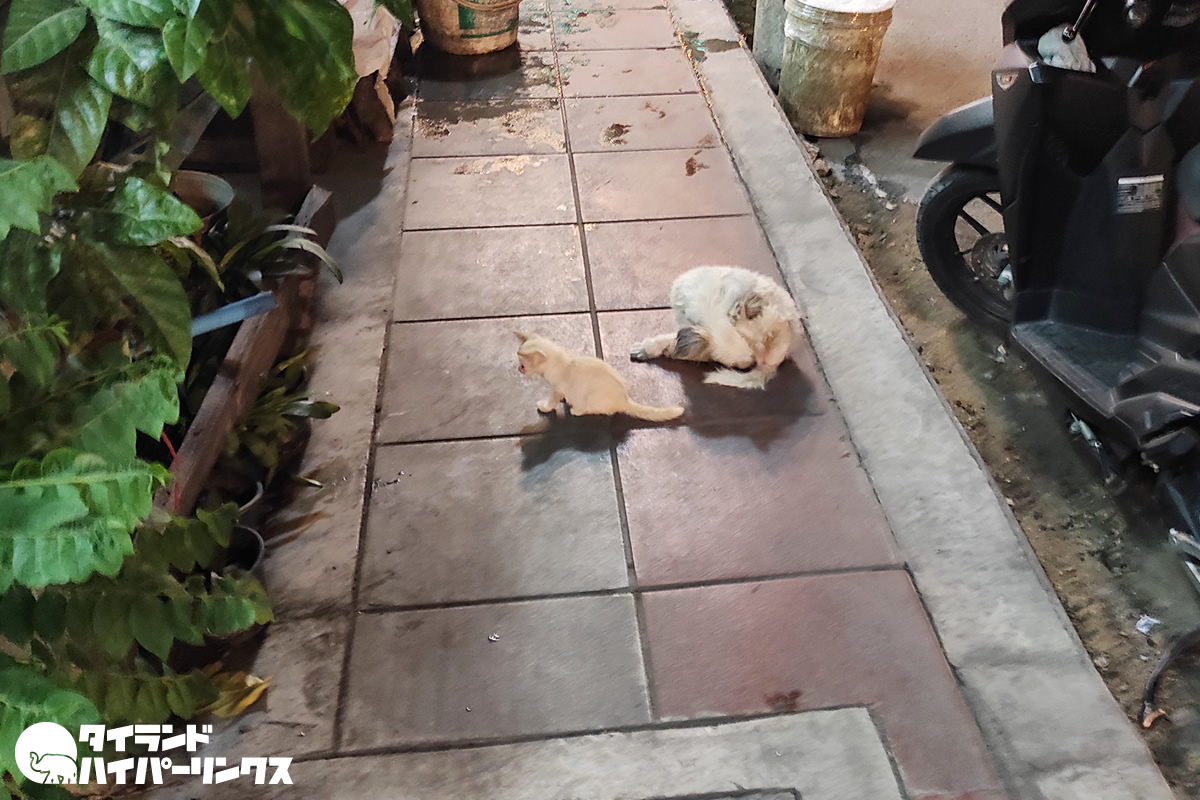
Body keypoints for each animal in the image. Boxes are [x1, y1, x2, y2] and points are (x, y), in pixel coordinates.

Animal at [515, 332, 684, 422]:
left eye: (523, 366)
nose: (518, 369)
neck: (561, 362)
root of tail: (624, 400)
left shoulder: (558, 388)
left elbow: (552, 400)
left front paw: (545, 407)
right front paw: (563, 400)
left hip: (590, 398)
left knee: (599, 411)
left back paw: (576, 410)